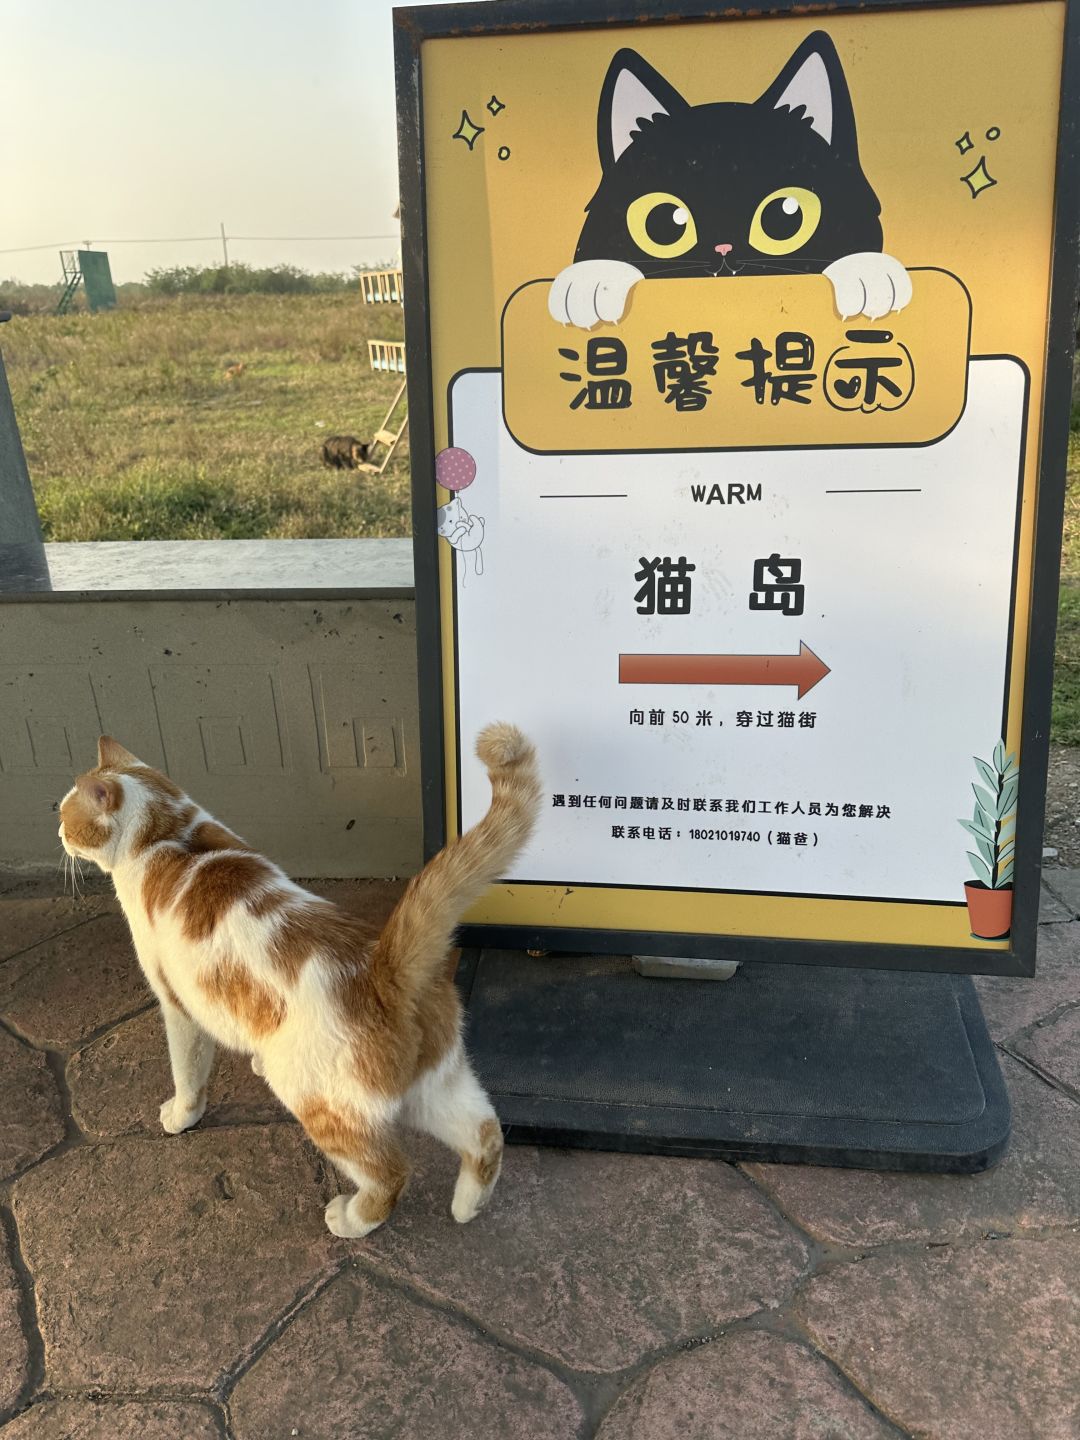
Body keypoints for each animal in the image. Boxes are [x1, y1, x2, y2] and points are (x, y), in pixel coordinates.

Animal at [59, 731, 541, 1238]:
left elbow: (187, 1073)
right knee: (486, 1131)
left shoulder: (179, 1008)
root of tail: (384, 968)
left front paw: (181, 1115)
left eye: (64, 816)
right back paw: (468, 1206)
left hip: (320, 1105)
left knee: (391, 1173)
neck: (169, 833)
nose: (57, 834)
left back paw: (351, 1218)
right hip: (436, 1087)